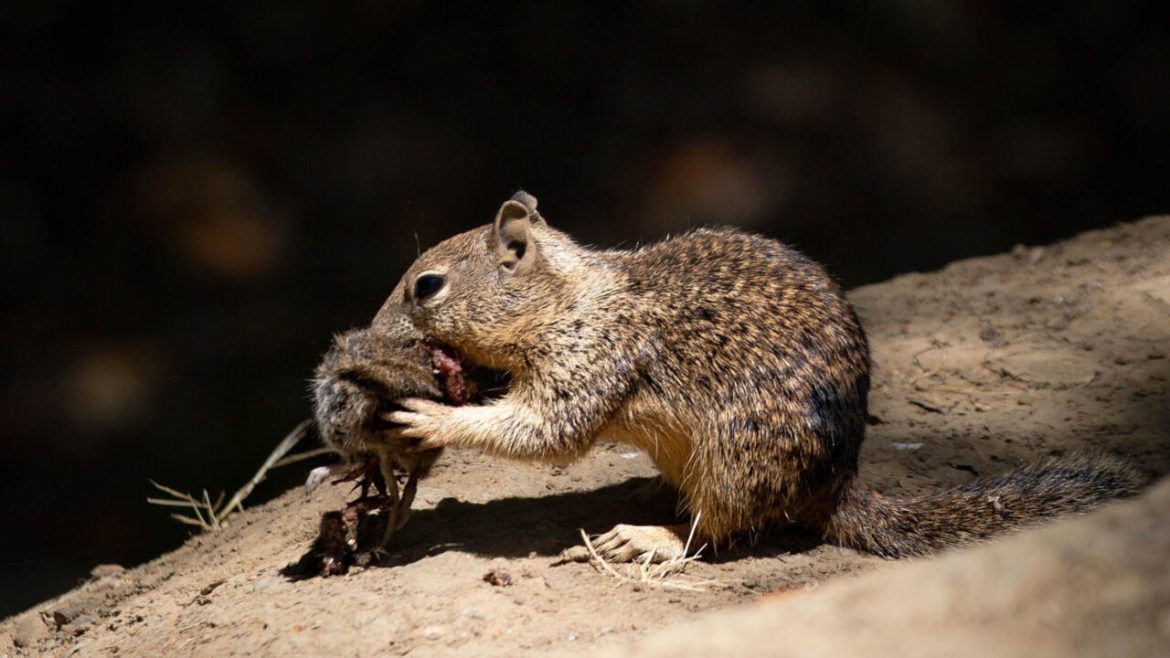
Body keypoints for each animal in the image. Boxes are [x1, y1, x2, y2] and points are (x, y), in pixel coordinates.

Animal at [334, 188, 1137, 557]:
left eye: (426, 286)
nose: (366, 333)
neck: (570, 297)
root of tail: (835, 485)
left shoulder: (592, 356)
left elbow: (545, 430)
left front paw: (431, 417)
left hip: (736, 456)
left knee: (716, 528)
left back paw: (650, 537)